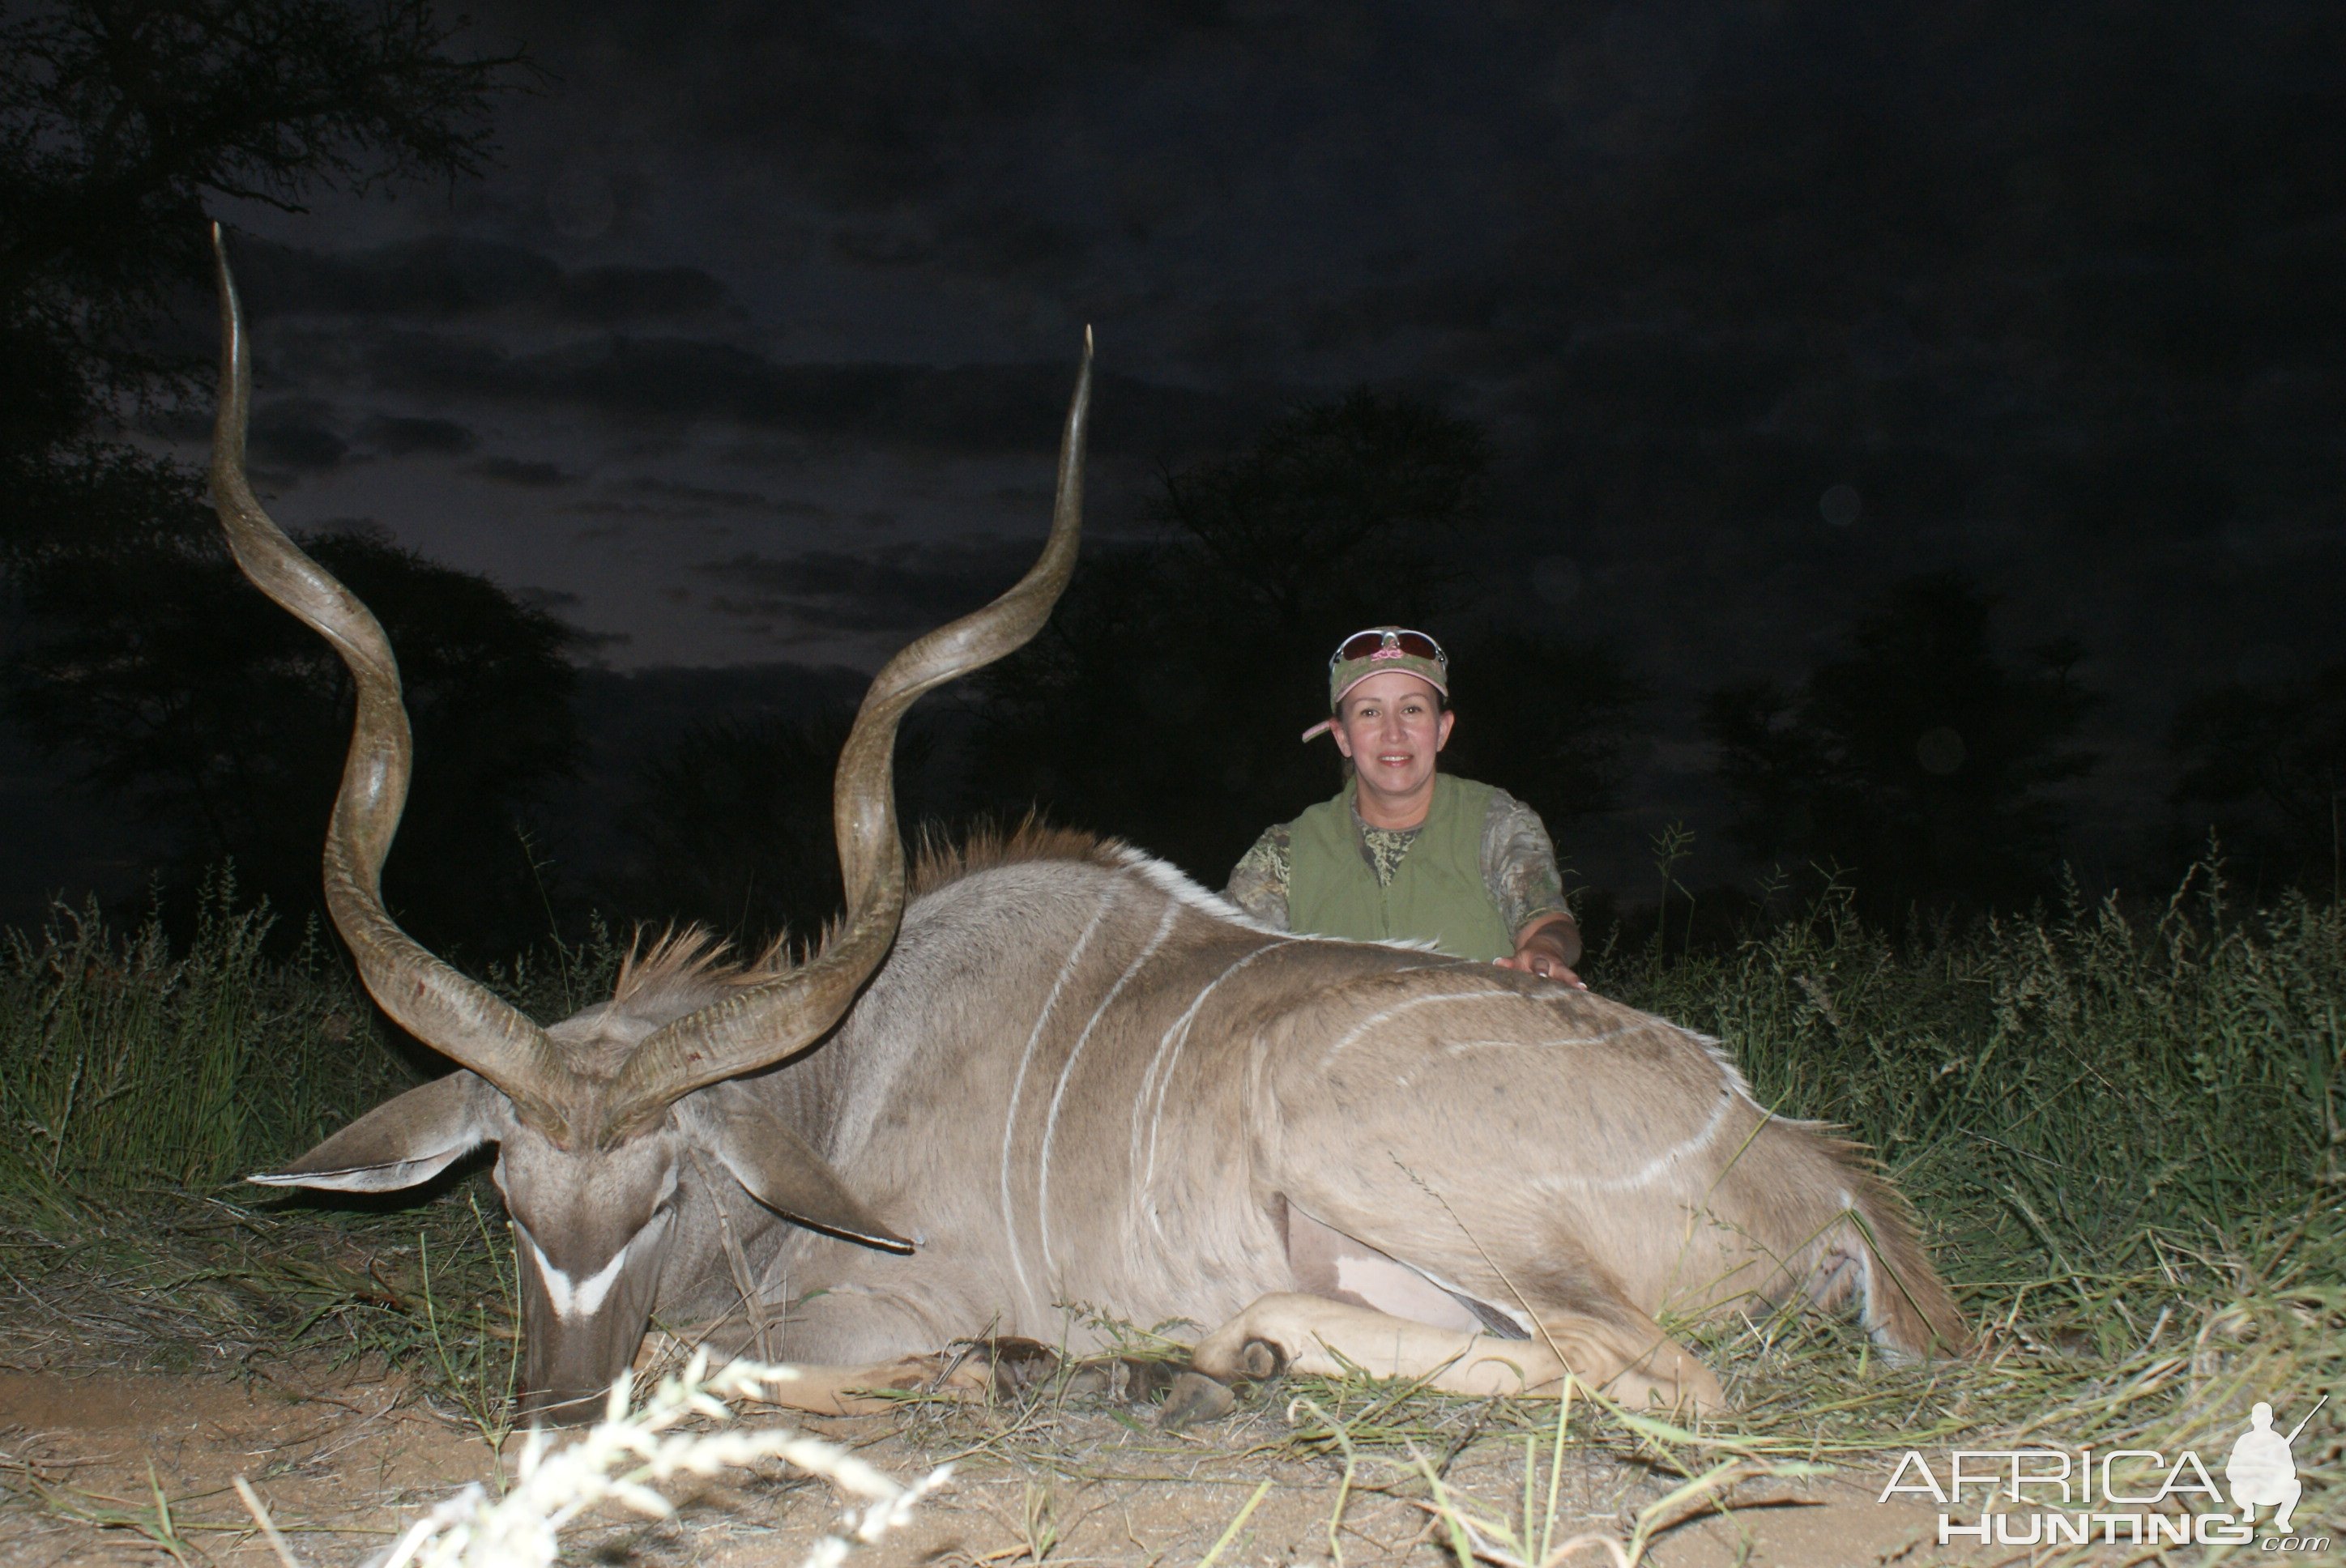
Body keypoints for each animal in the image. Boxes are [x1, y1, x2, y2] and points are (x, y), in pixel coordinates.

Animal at [220, 239, 1970, 1425]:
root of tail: (1810, 1170)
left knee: (1654, 1373)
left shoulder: (870, 1297)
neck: (841, 1085)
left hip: (1394, 1169)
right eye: (508, 1199)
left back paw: (1210, 1352)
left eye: (658, 1197)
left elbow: (703, 1354)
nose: (552, 1413)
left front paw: (987, 1366)